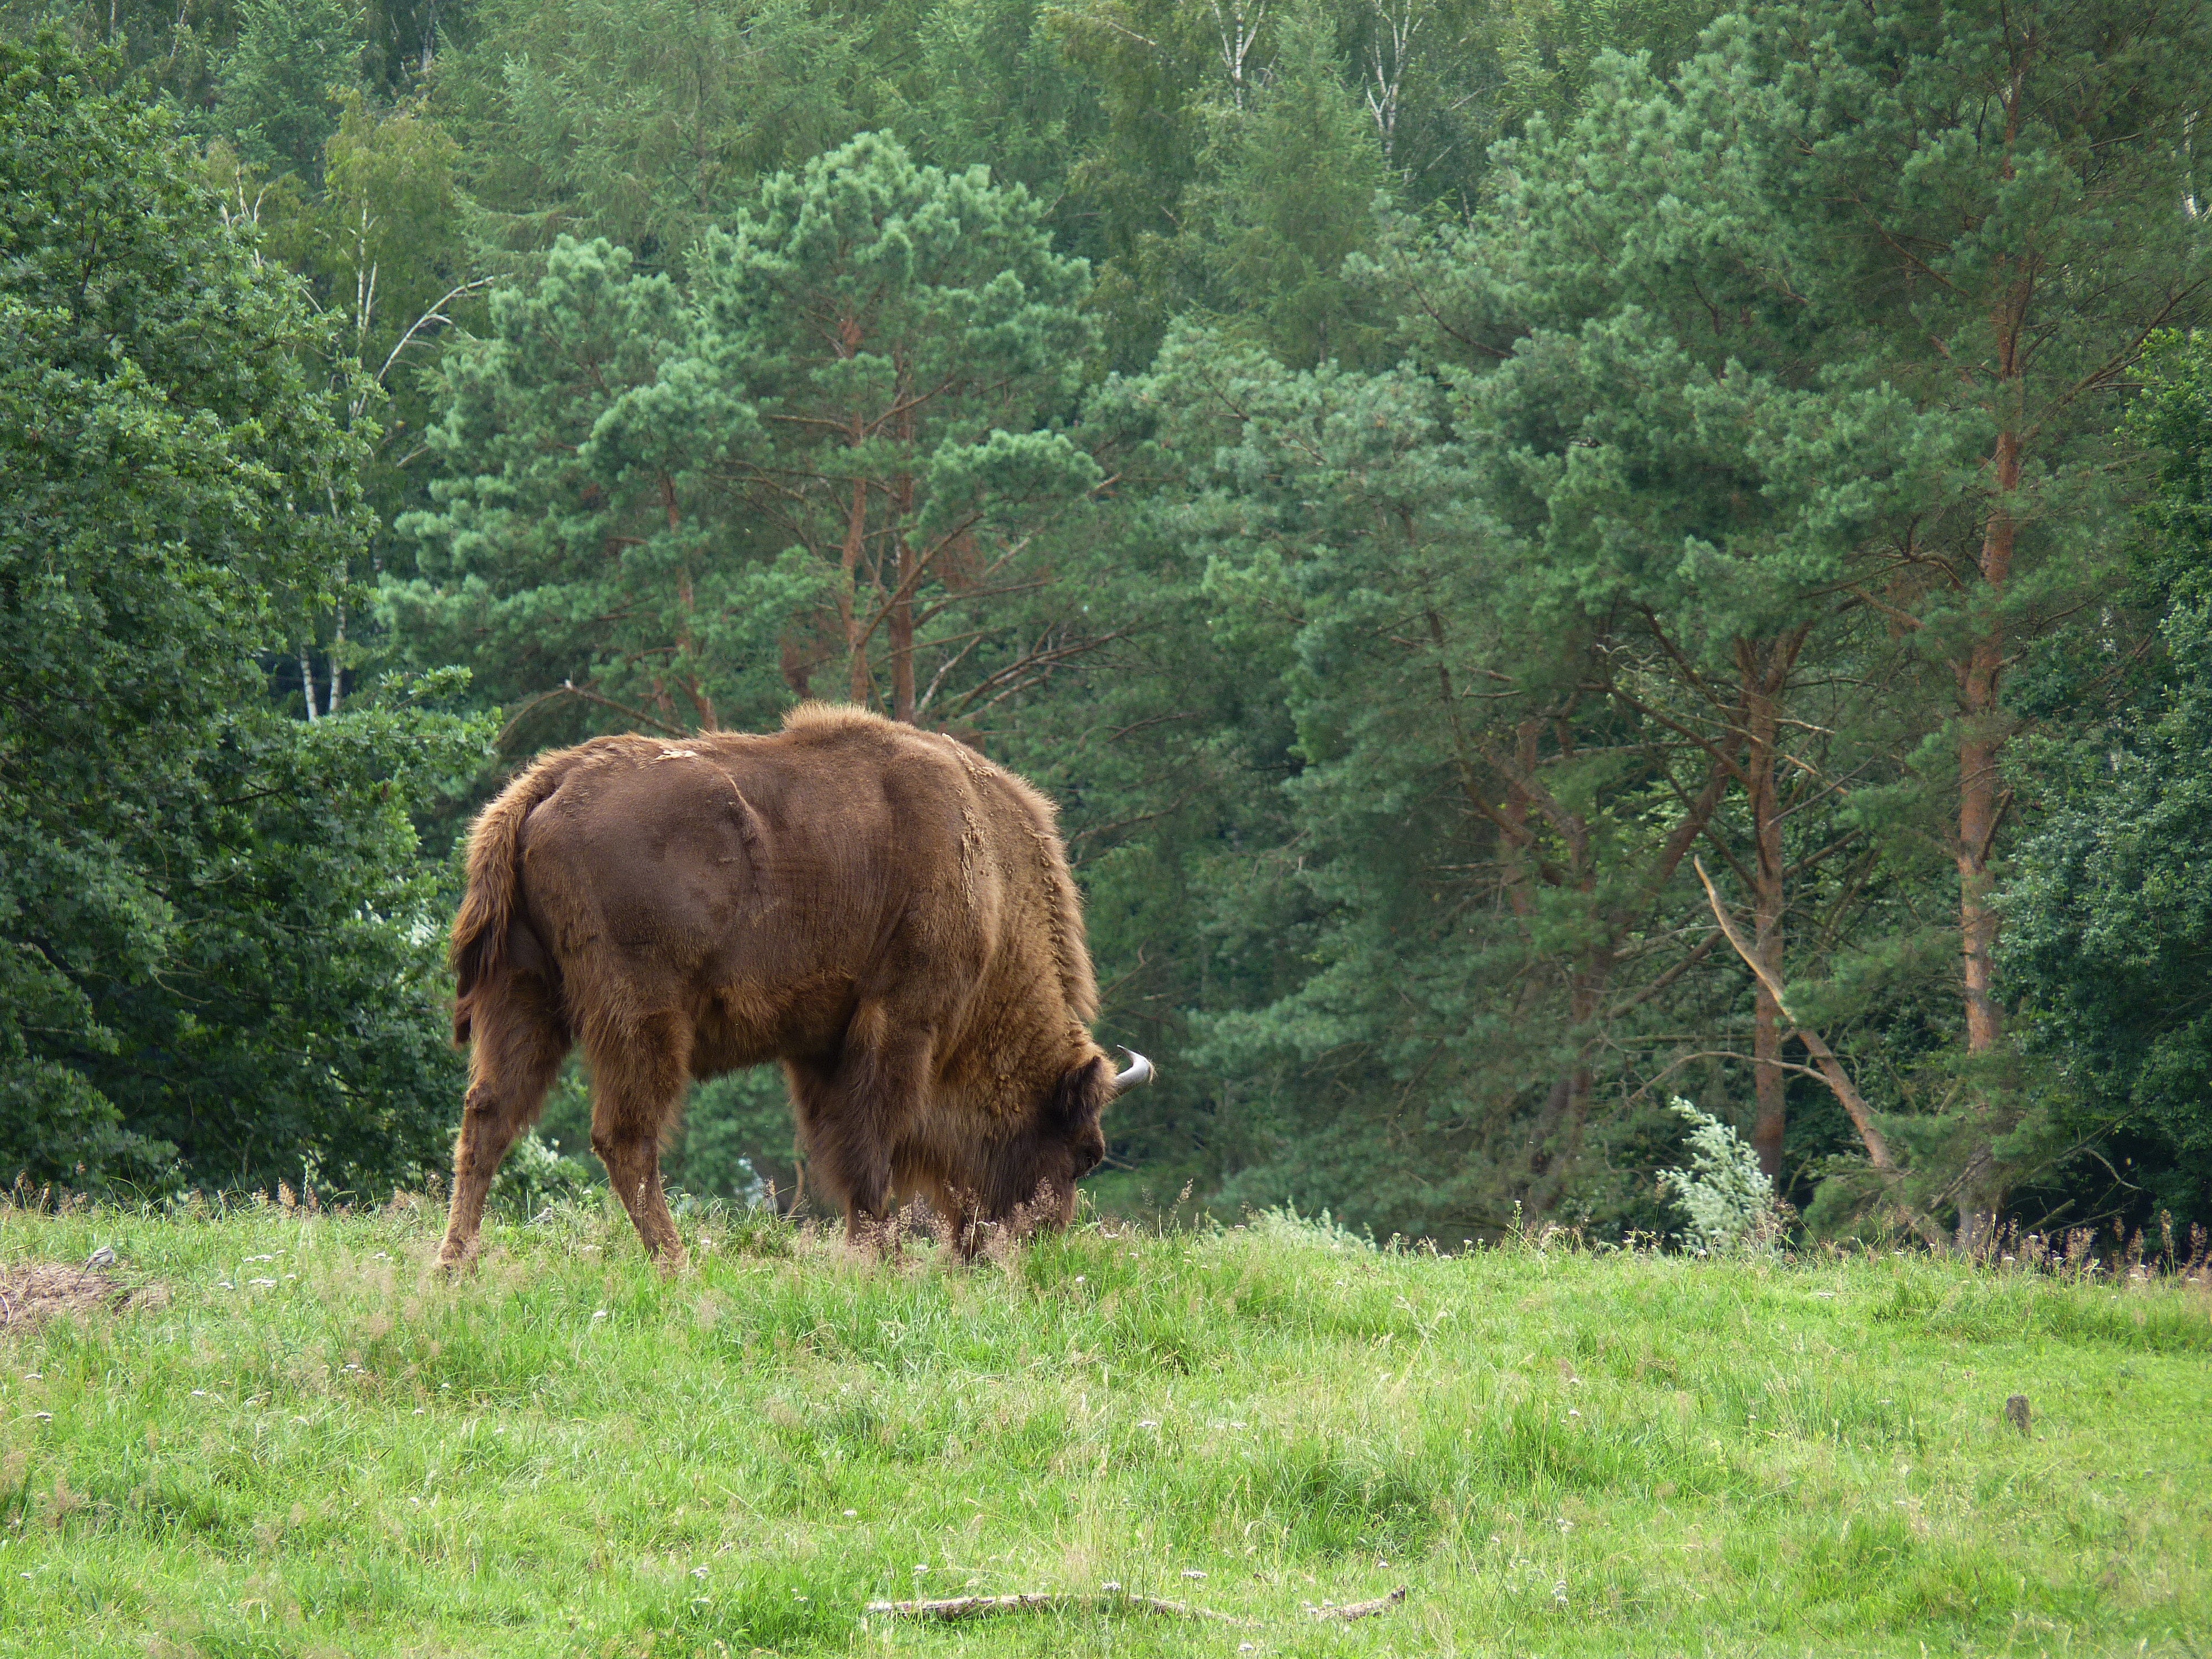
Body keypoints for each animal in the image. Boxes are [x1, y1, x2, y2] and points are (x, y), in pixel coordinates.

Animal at [435, 702, 1151, 1273]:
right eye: (1084, 1152)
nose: (1031, 1249)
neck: (991, 882)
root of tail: (550, 781)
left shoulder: (822, 1045)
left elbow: (841, 1145)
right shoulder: (901, 1021)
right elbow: (872, 1141)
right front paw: (886, 1259)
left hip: (521, 993)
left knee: (489, 1116)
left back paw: (454, 1269)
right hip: (641, 1015)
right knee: (625, 1136)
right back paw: (678, 1267)